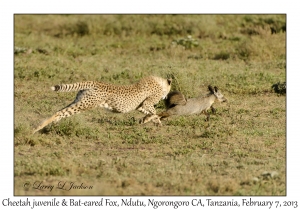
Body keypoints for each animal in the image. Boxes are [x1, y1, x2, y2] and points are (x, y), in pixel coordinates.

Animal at [32, 76, 171, 134]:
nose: (166, 97)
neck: (159, 83)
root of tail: (95, 82)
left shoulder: (140, 106)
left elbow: (152, 113)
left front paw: (154, 122)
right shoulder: (147, 103)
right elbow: (154, 112)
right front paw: (150, 120)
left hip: (79, 101)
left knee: (61, 112)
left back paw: (50, 126)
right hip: (85, 104)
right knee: (60, 112)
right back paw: (37, 128)